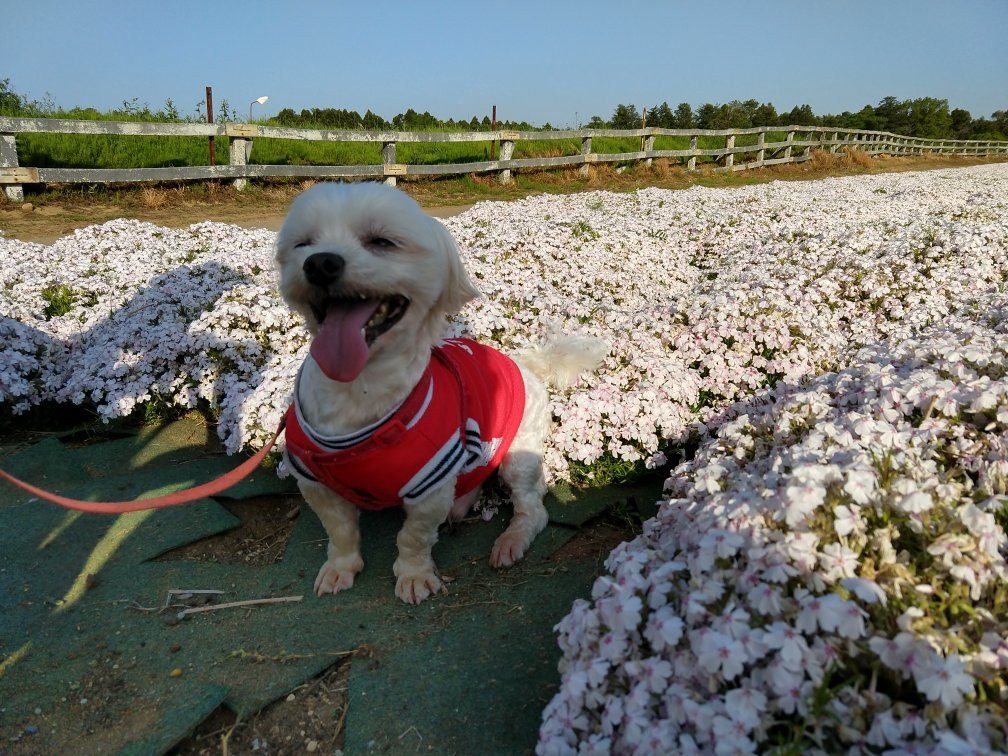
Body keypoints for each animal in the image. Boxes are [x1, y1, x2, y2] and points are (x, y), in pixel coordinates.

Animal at [274, 183, 604, 604]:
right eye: (303, 244)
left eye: (381, 241)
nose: (319, 264)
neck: (359, 389)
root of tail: (524, 362)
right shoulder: (313, 479)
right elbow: (340, 529)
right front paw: (340, 567)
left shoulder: (430, 480)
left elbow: (412, 536)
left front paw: (414, 575)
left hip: (519, 451)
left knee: (532, 506)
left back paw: (510, 540)